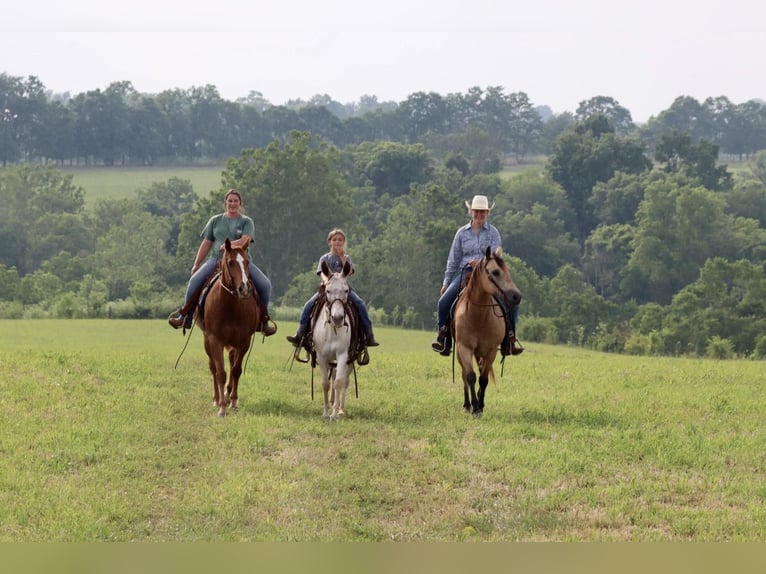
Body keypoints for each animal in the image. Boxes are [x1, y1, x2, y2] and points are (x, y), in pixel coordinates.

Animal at [195, 238, 260, 418]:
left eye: (247, 262)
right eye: (230, 262)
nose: (244, 289)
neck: (230, 306)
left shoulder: (244, 341)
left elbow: (236, 370)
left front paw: (234, 402)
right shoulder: (214, 340)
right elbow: (220, 373)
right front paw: (222, 407)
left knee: (231, 364)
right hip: (206, 341)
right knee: (213, 368)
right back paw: (217, 399)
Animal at [452, 248, 524, 418]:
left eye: (507, 270)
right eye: (495, 272)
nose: (516, 296)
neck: (478, 316)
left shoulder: (491, 351)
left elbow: (483, 379)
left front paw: (480, 406)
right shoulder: (464, 348)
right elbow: (470, 376)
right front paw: (474, 407)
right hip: (460, 352)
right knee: (464, 375)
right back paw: (467, 405)